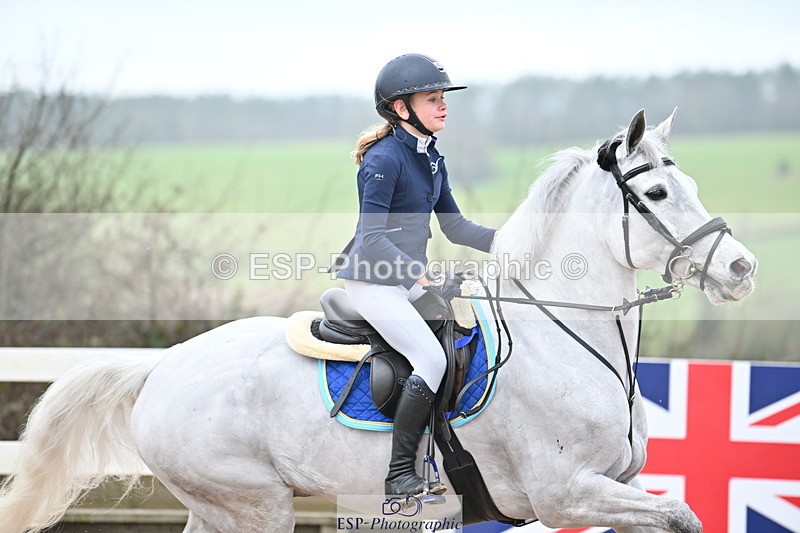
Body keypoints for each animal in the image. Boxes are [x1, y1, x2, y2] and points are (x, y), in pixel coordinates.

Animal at [0, 109, 757, 533]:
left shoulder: (613, 488)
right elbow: (682, 515)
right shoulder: (567, 493)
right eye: (656, 192)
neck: (565, 340)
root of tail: (163, 365)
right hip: (253, 505)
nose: (741, 267)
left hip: (218, 508)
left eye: (688, 185)